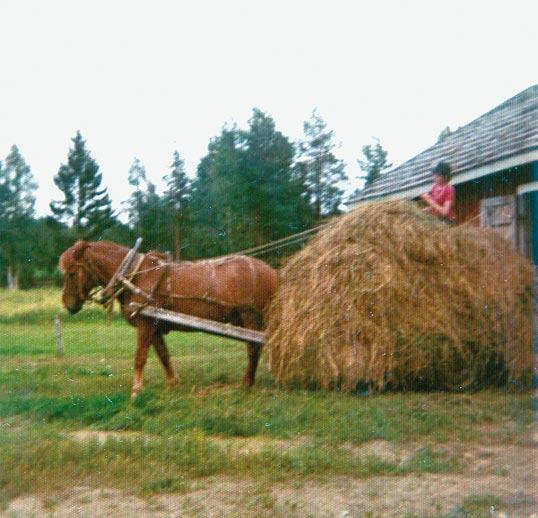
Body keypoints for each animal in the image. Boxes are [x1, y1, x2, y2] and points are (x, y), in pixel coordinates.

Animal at [58, 242, 276, 400]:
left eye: (72, 272)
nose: (68, 304)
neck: (135, 276)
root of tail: (272, 272)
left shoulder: (145, 324)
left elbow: (140, 357)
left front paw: (136, 391)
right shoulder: (153, 325)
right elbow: (163, 354)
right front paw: (173, 382)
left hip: (251, 318)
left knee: (253, 349)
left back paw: (247, 383)